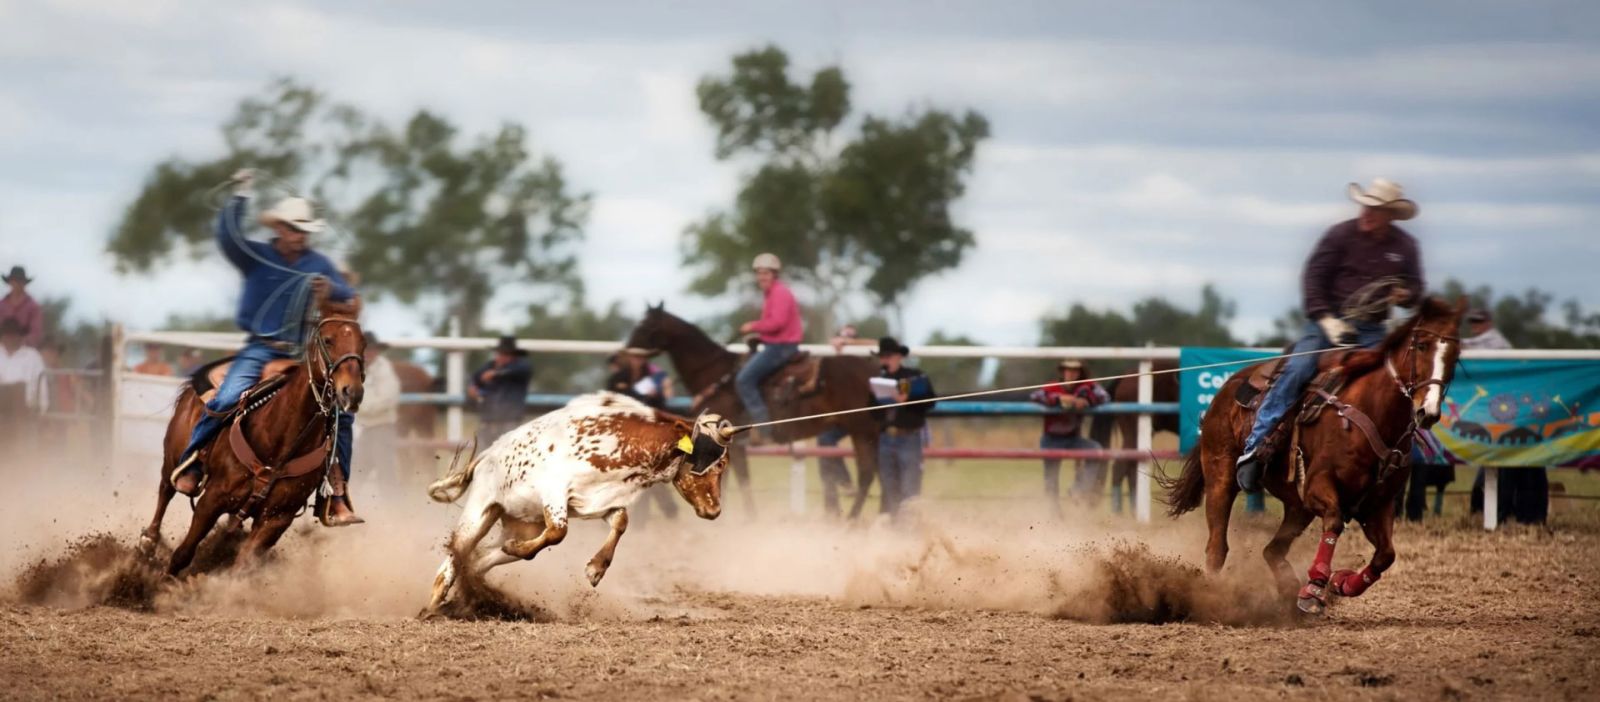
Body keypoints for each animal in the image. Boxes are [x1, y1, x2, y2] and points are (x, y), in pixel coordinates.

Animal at [422, 392, 736, 615]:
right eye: (719, 462)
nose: (714, 510)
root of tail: (485, 456)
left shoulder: (600, 500)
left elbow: (620, 522)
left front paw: (596, 568)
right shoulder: (554, 493)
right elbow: (558, 532)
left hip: (520, 523)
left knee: (480, 559)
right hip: (481, 511)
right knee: (456, 554)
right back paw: (434, 603)